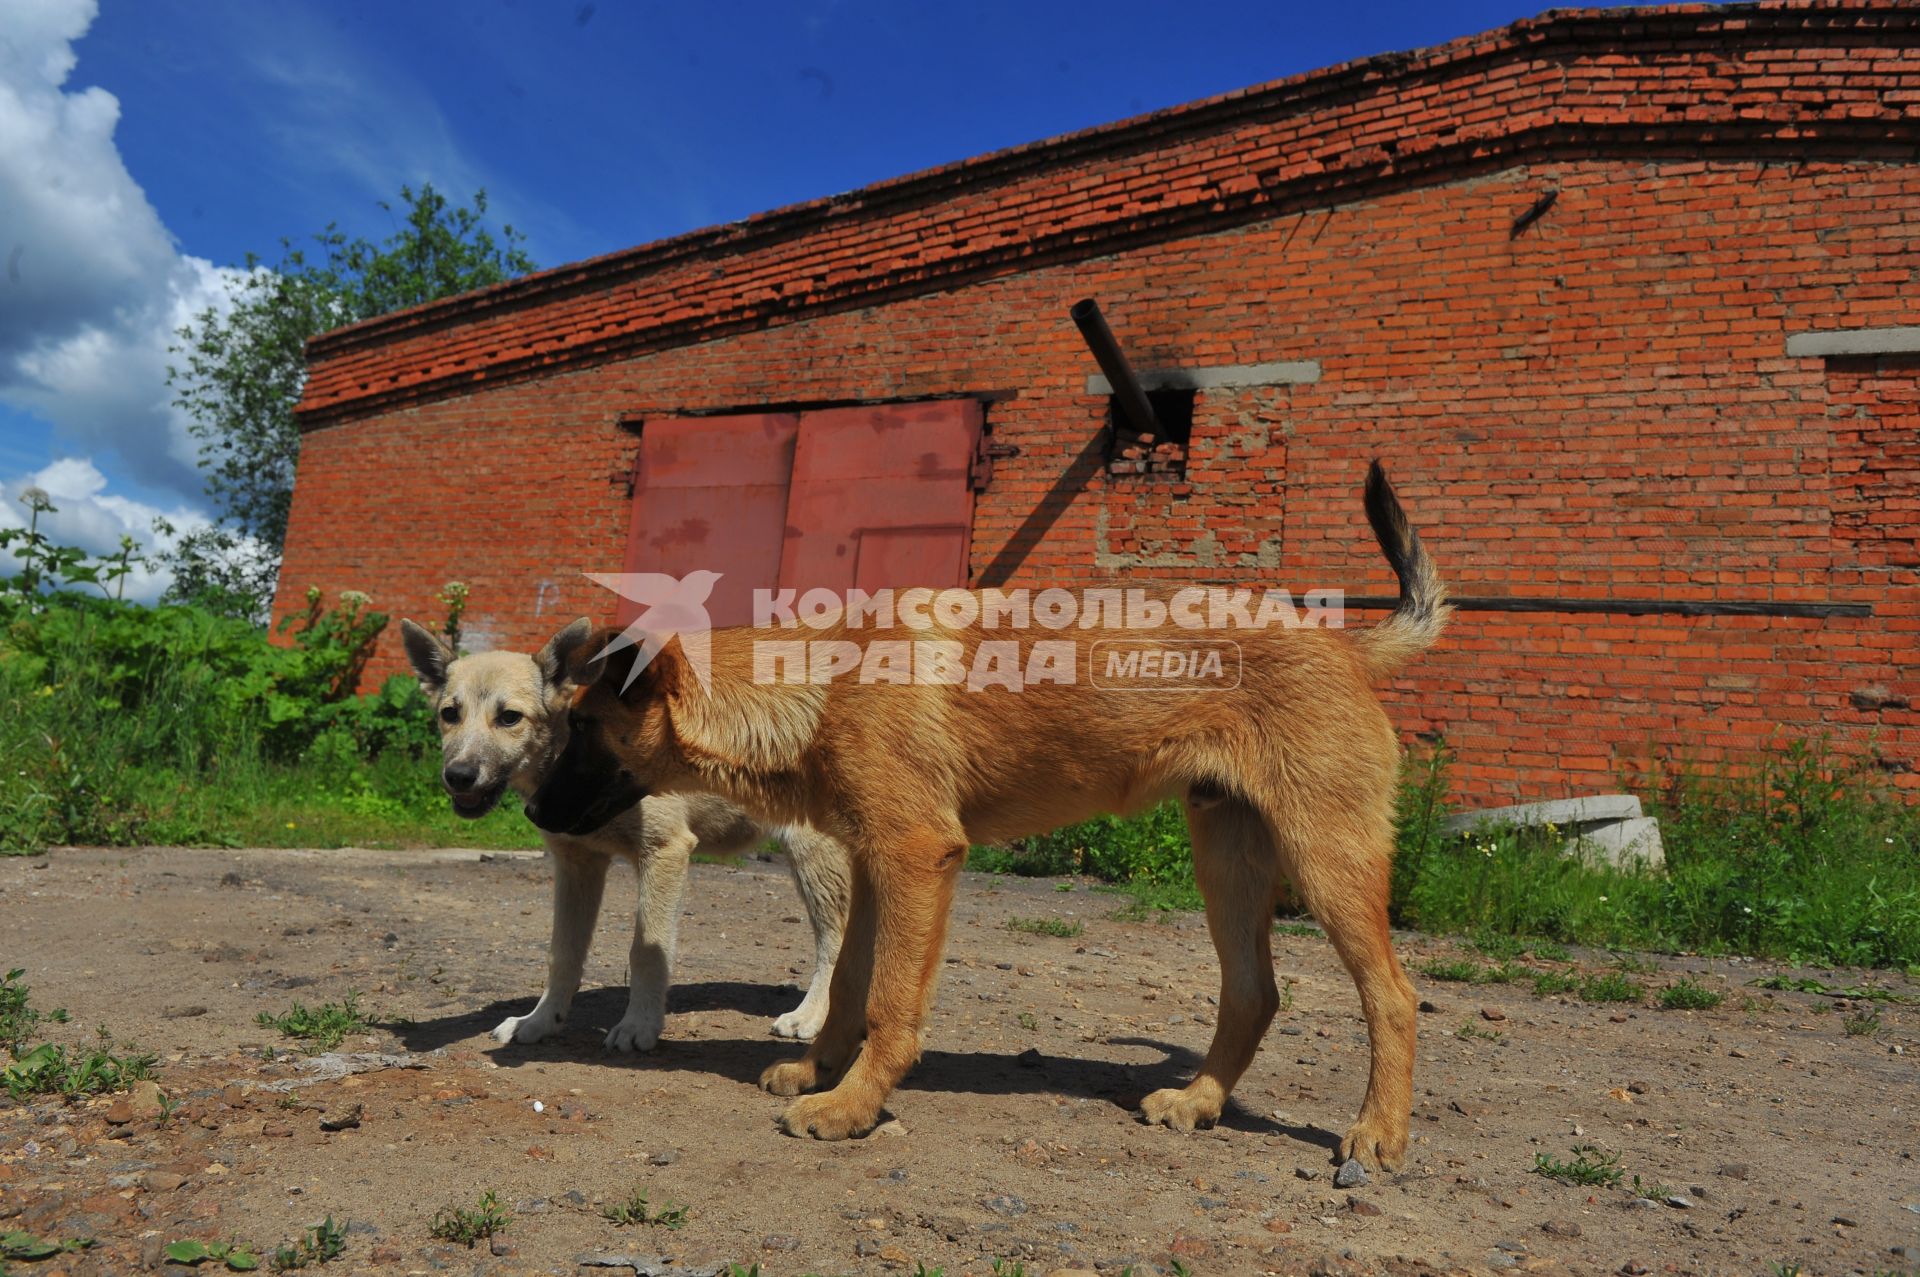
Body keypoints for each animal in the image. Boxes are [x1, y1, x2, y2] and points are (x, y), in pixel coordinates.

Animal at [401, 614, 852, 1044]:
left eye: (510, 717)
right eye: (449, 715)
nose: (458, 776)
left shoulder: (665, 852)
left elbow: (646, 952)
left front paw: (639, 1025)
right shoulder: (576, 866)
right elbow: (562, 954)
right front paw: (541, 1022)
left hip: (814, 859)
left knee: (835, 940)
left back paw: (810, 1017)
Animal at [518, 468, 1443, 1167]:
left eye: (584, 728)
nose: (527, 810)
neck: (822, 685)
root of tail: (1345, 646)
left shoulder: (916, 856)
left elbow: (890, 1000)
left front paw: (852, 1106)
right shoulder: (873, 862)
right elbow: (849, 982)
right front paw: (822, 1070)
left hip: (1328, 857)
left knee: (1393, 995)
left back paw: (1377, 1133)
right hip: (1228, 861)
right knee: (1253, 993)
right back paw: (1200, 1101)